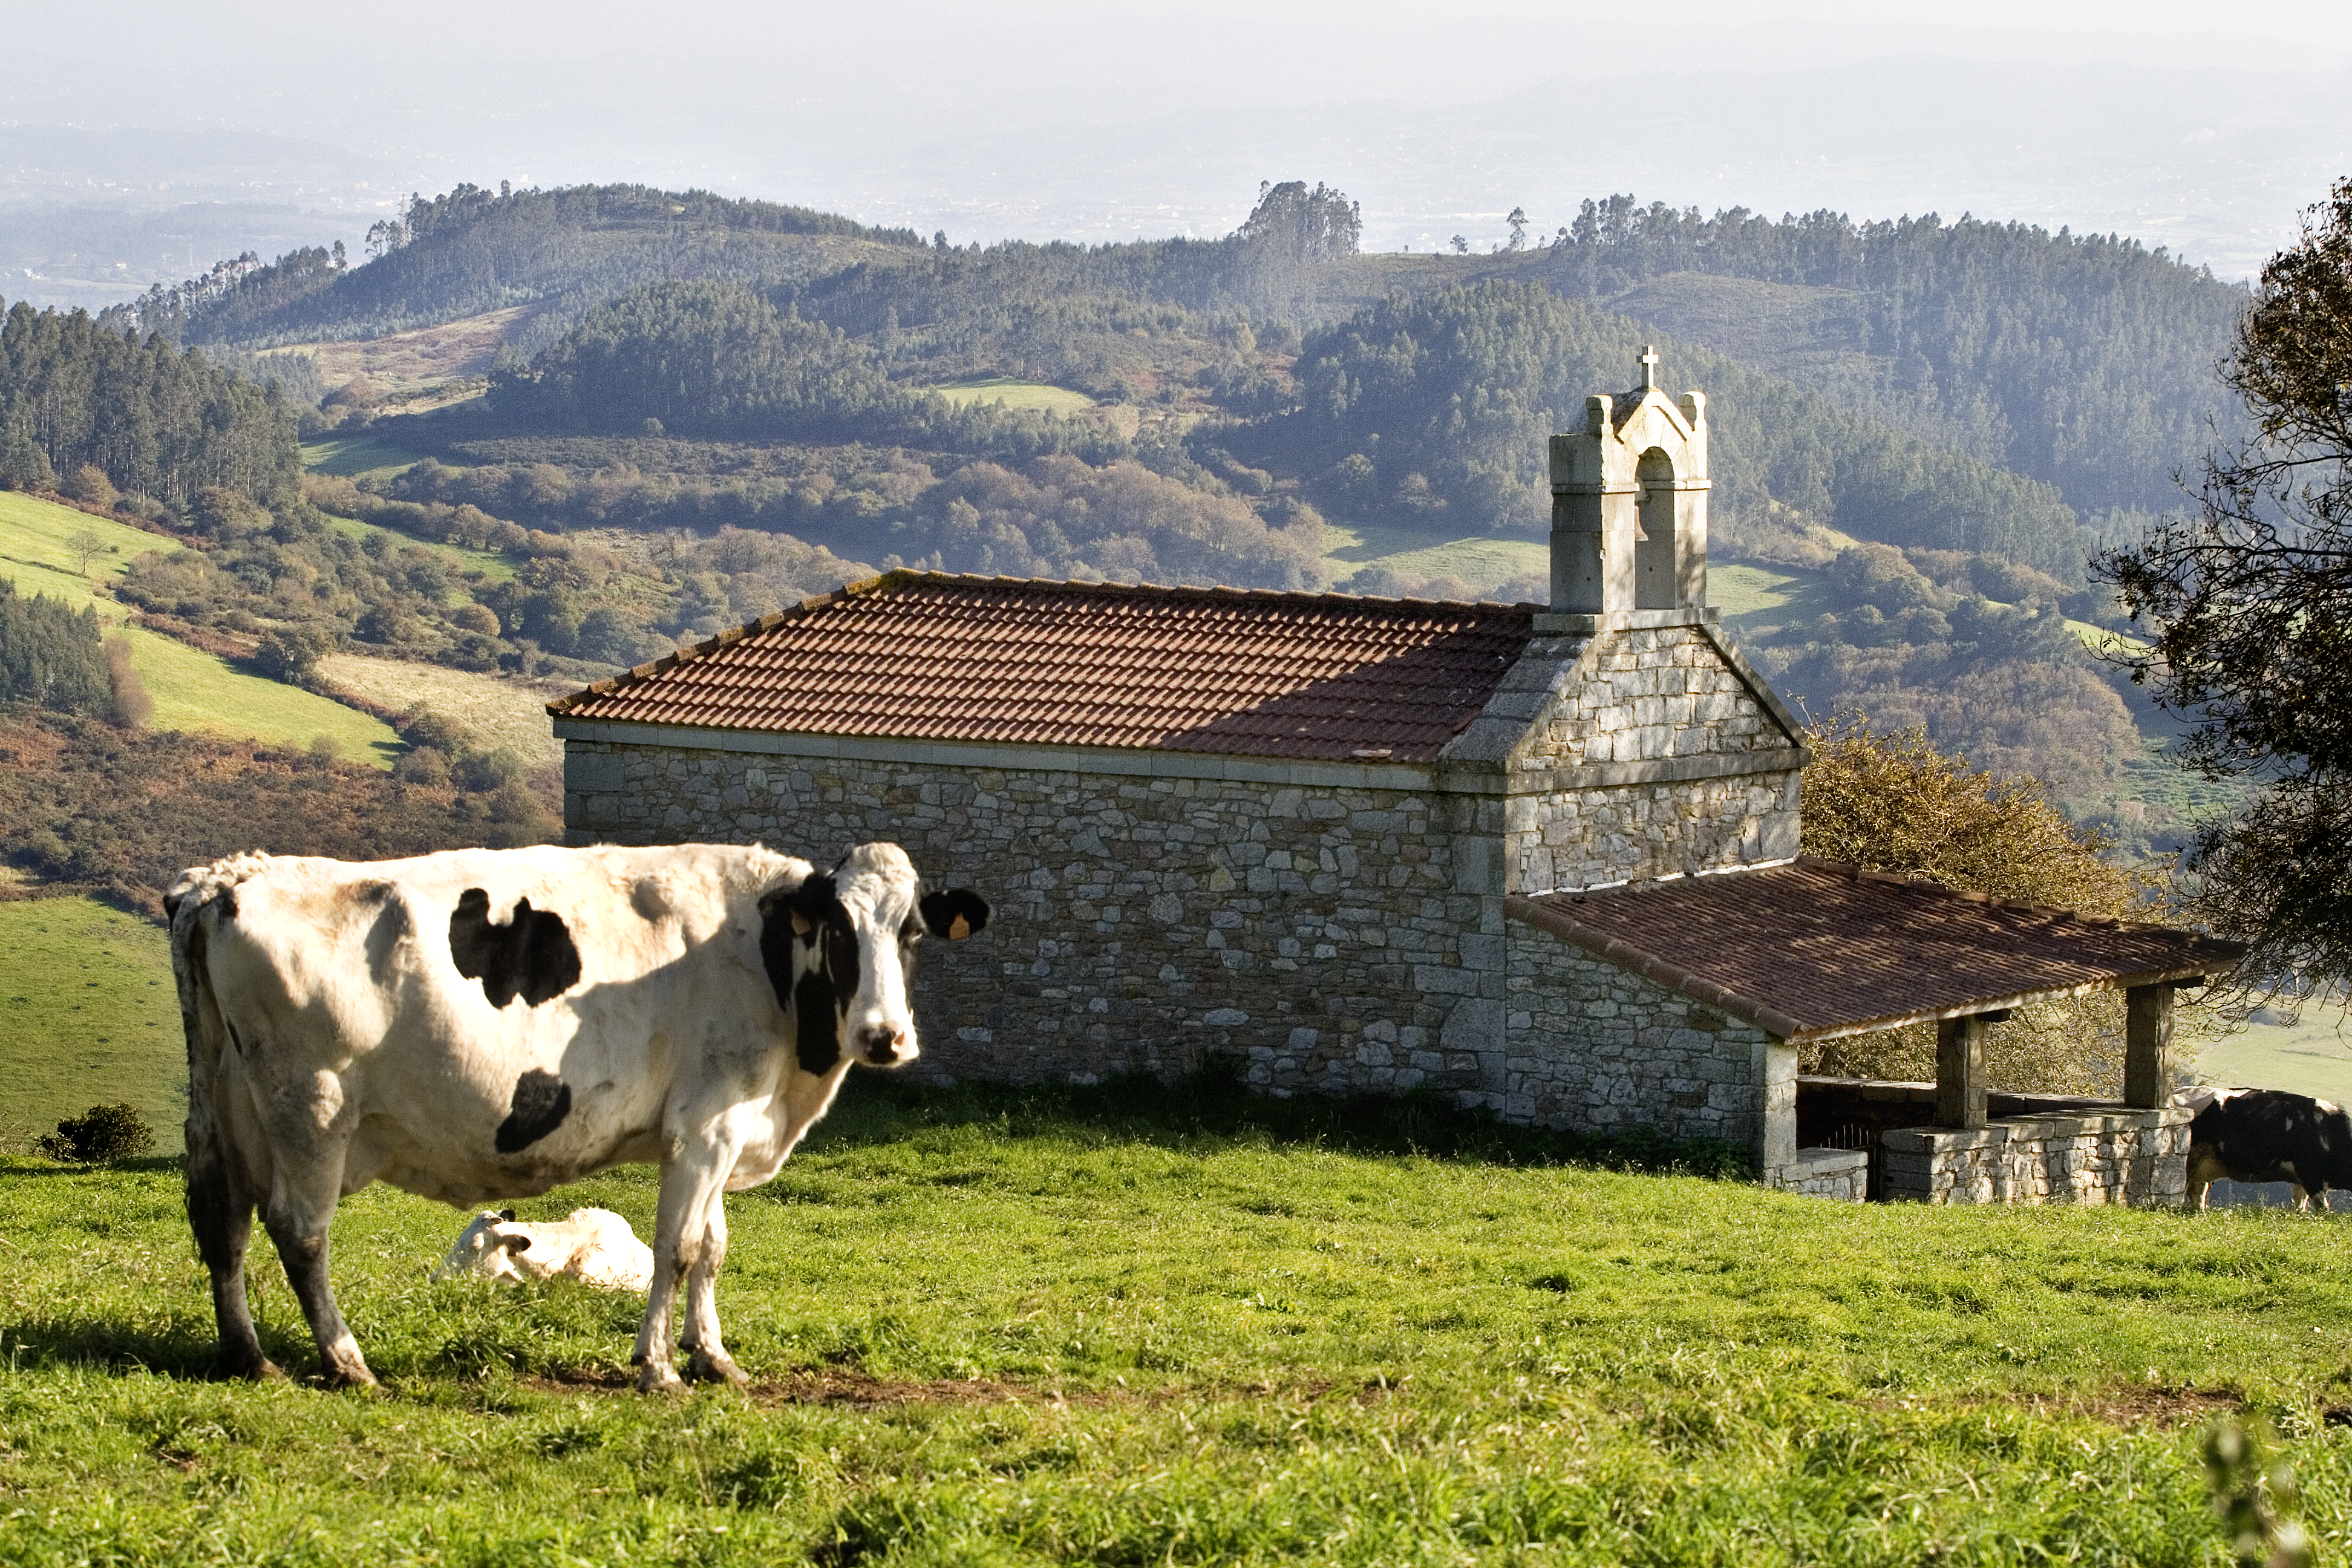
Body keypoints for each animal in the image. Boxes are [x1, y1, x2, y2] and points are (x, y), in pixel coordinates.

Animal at [2163, 1091, 2352, 1213]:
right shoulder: (2311, 1175)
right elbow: (2323, 1208)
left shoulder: (2303, 1179)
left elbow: (2299, 1205)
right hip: (2191, 1159)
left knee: (2197, 1192)